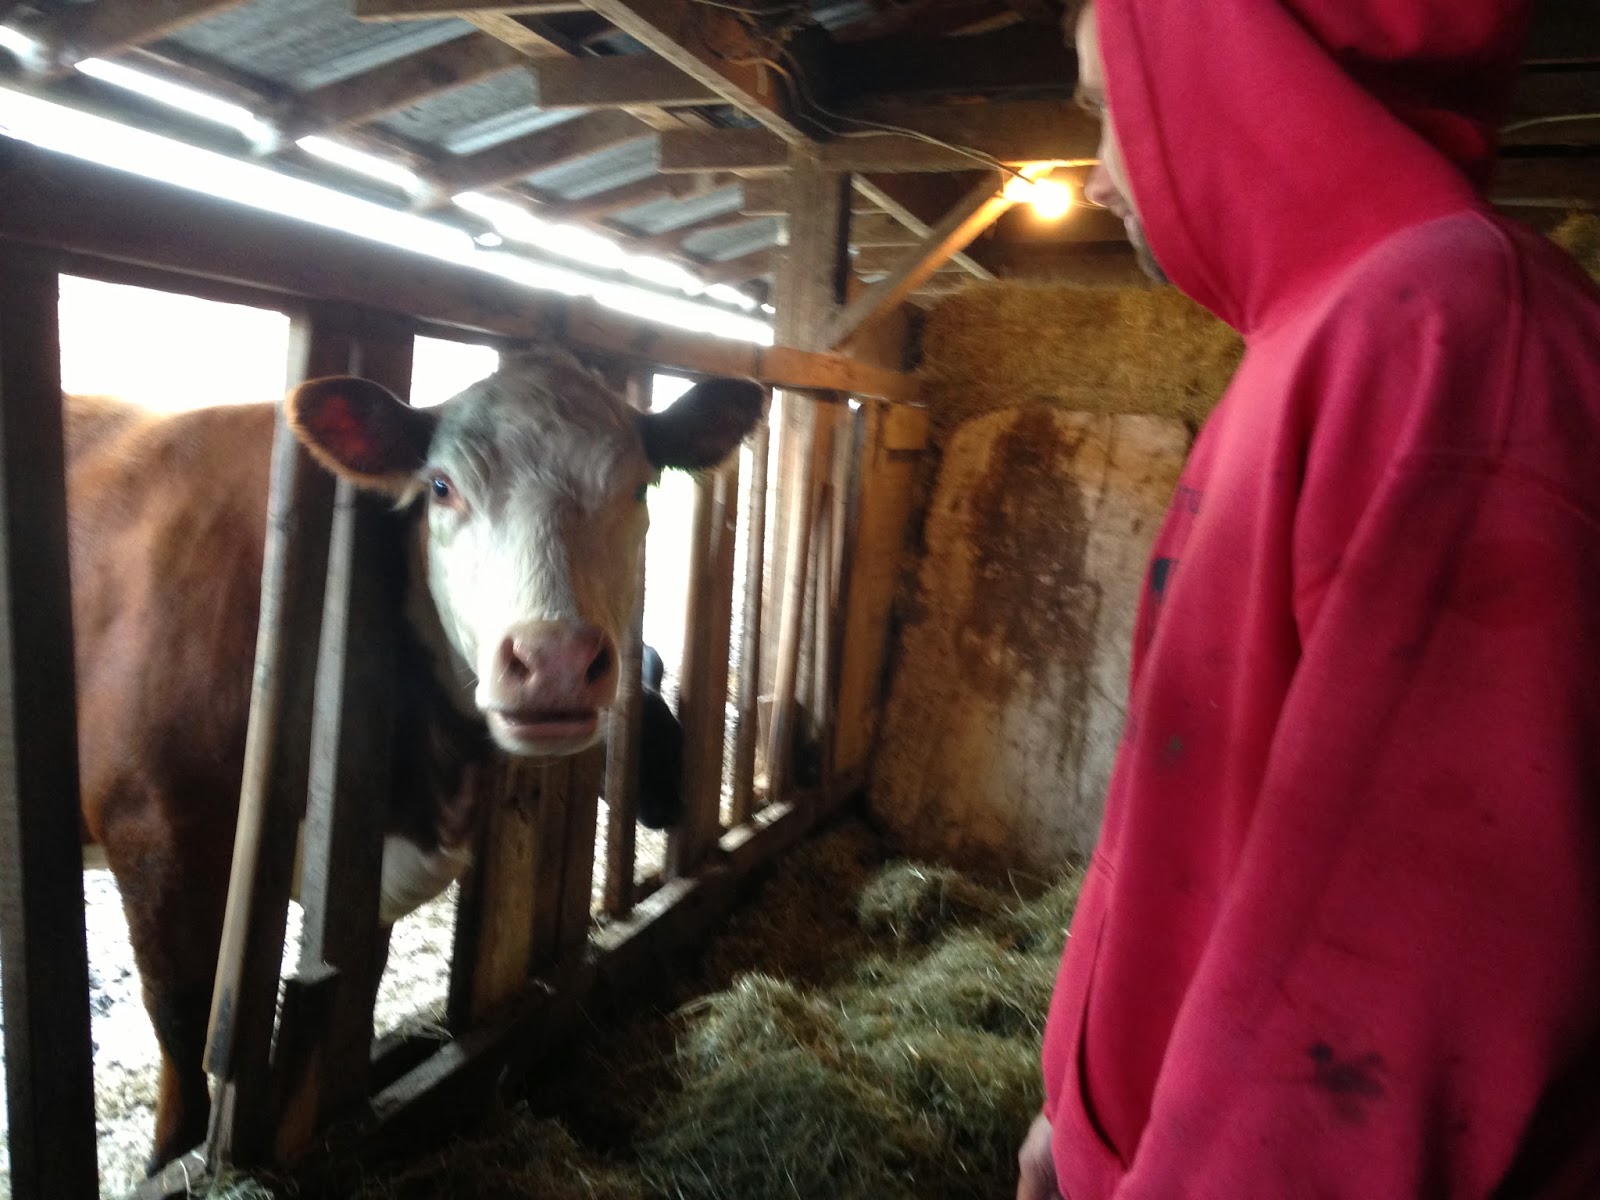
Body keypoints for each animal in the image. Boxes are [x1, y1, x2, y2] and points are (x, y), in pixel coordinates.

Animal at [65, 347, 763, 1172]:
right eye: (440, 487)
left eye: (640, 486)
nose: (554, 663)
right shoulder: (155, 827)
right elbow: (182, 1020)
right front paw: (173, 1160)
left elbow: (354, 990)